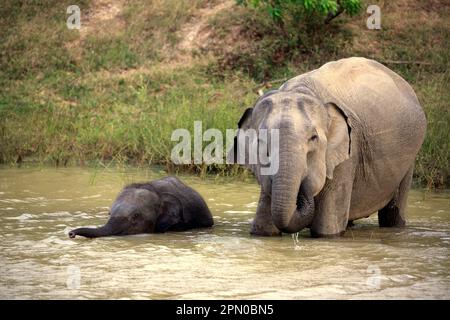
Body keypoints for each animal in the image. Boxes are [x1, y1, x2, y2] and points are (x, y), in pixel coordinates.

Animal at [230, 57, 428, 238]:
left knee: (392, 214)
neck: (299, 90)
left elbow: (326, 229)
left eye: (313, 138)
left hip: (410, 158)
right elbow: (263, 226)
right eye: (261, 141)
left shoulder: (349, 154)